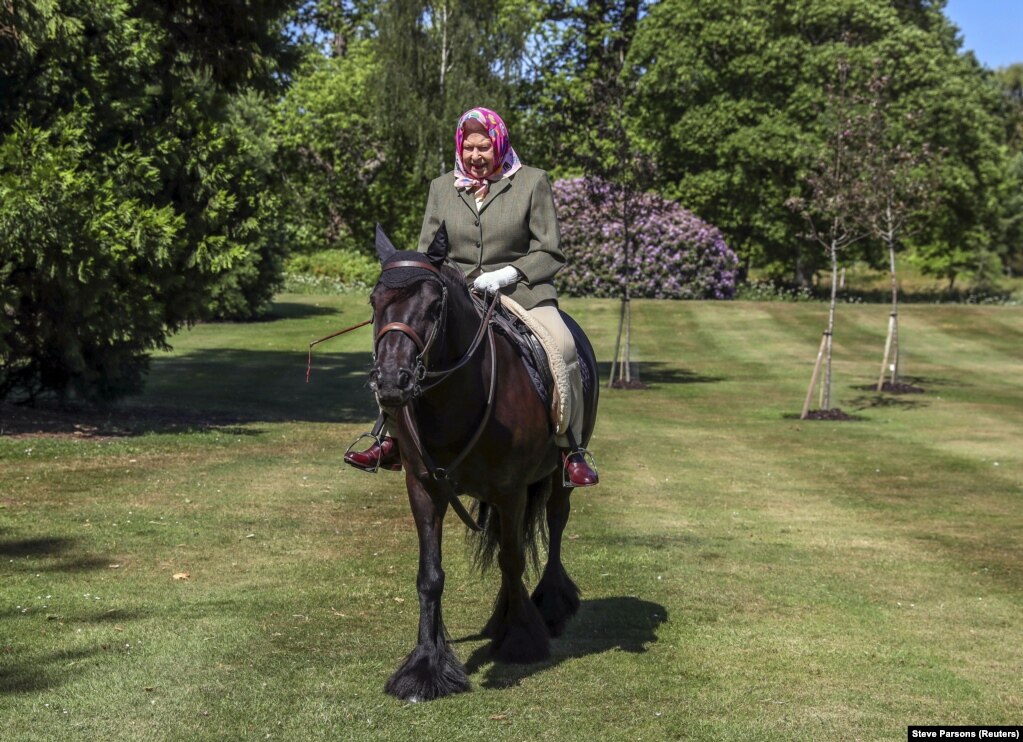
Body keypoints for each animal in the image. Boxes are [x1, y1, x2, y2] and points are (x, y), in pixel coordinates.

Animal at [372, 223, 597, 695]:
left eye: (434, 305)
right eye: (374, 301)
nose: (391, 382)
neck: (453, 397)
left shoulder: (511, 489)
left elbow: (512, 560)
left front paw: (521, 639)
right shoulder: (424, 486)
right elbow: (430, 575)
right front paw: (426, 665)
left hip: (559, 475)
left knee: (555, 524)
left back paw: (549, 605)